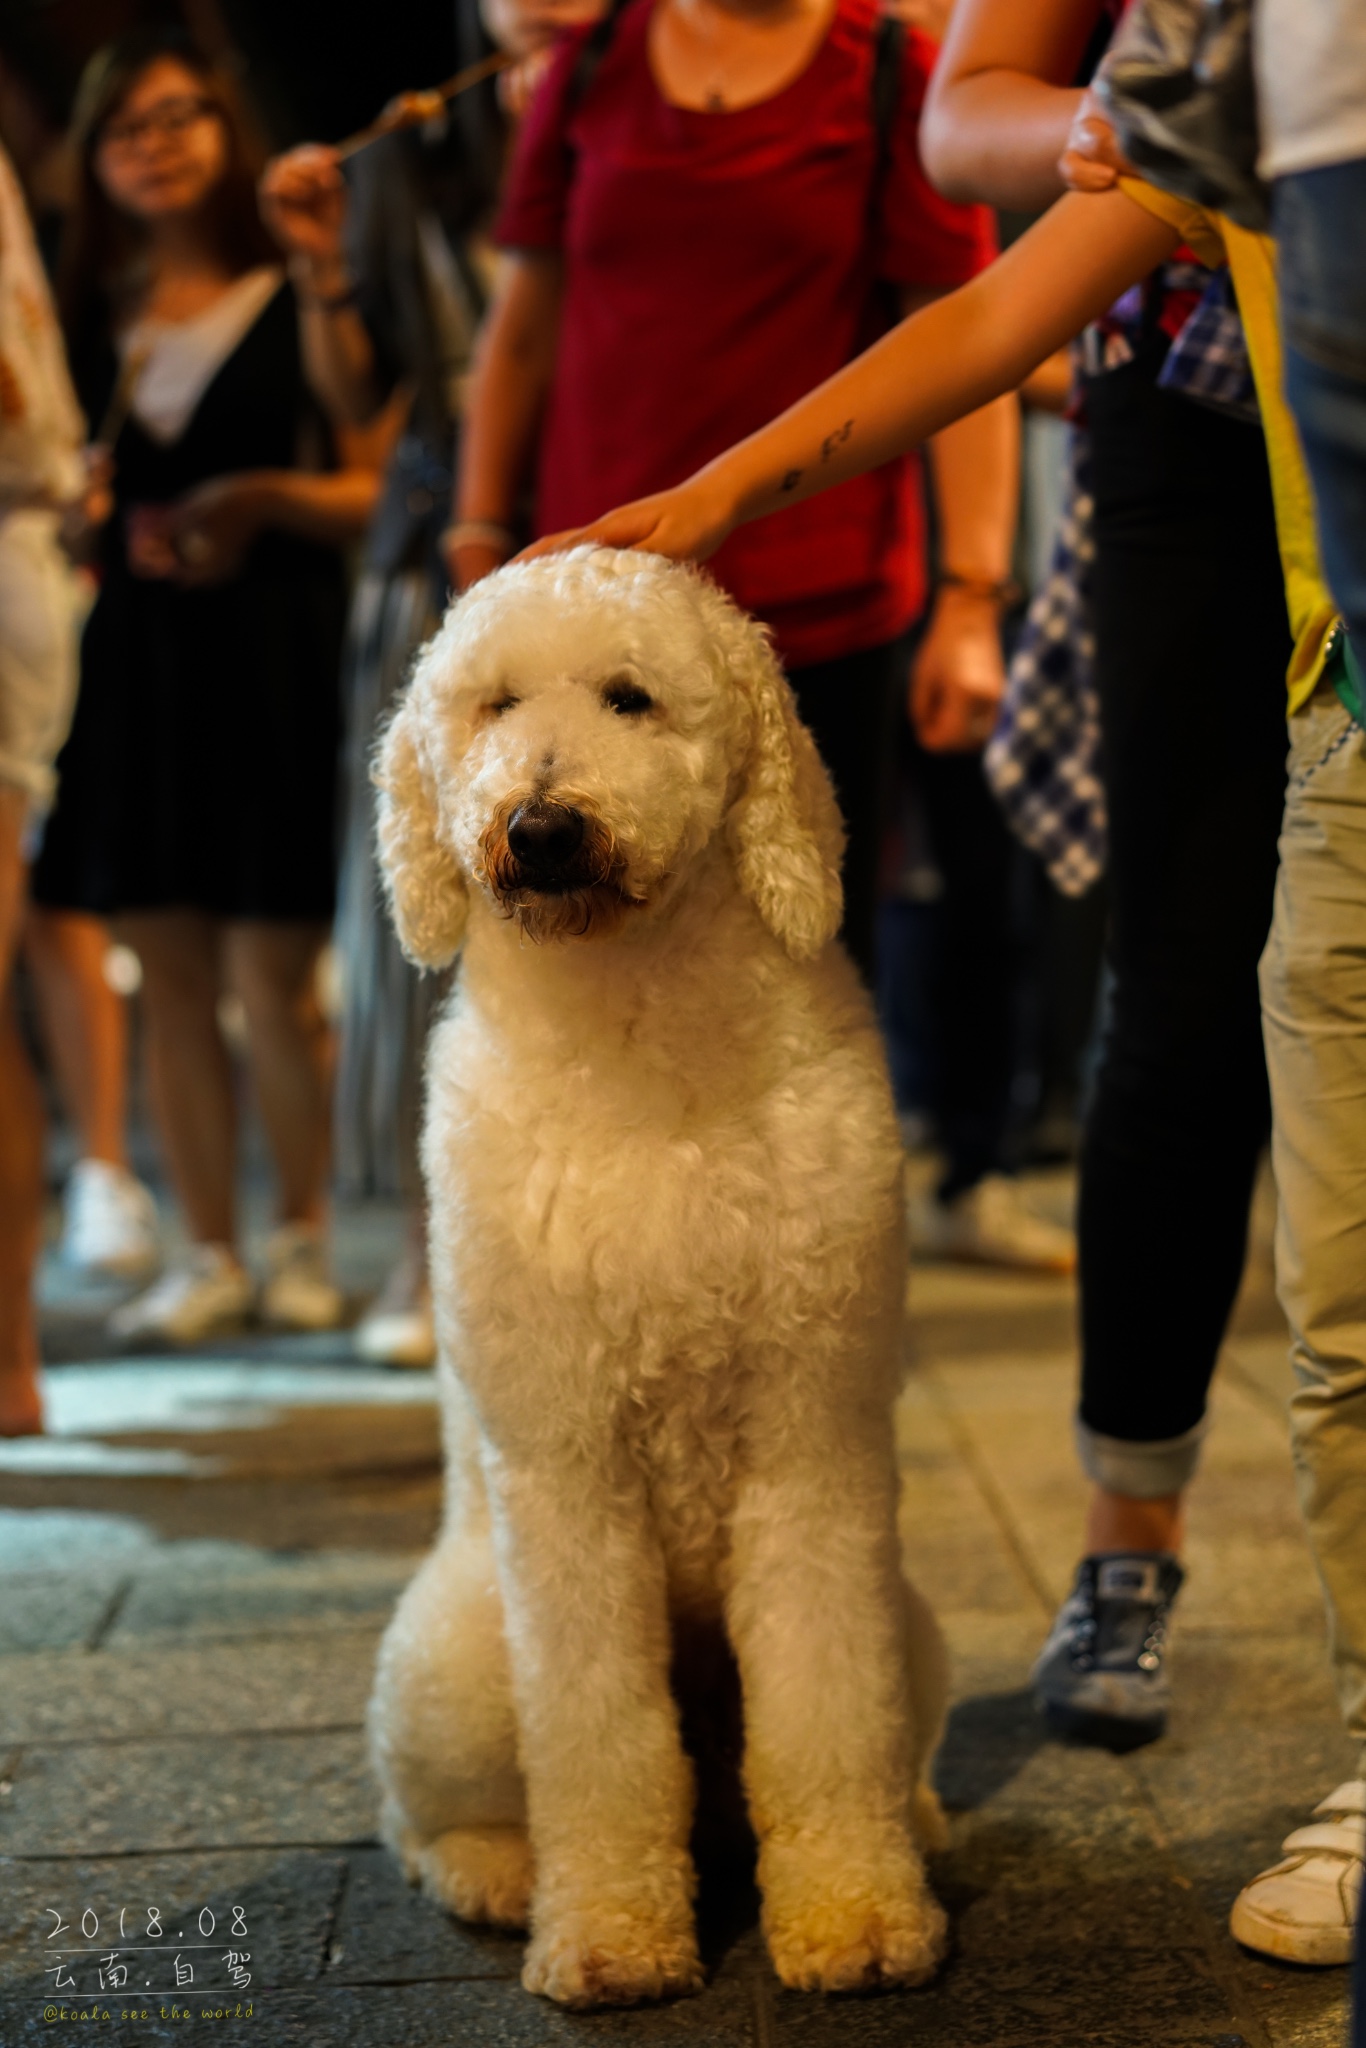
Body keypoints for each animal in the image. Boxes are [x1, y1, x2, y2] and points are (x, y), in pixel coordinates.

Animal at [370, 548, 950, 2015]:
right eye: (493, 703)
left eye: (629, 697)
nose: (539, 827)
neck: (638, 1042)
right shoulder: (568, 1468)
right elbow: (599, 1744)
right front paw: (611, 1936)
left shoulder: (809, 1442)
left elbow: (825, 1717)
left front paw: (856, 1914)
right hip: (452, 1659)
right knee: (428, 1810)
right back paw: (495, 1870)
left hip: (910, 1624)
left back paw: (917, 1824)